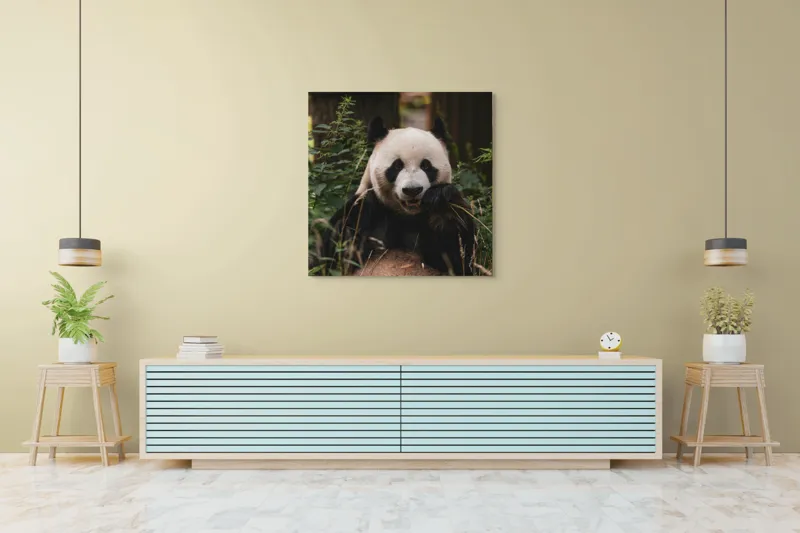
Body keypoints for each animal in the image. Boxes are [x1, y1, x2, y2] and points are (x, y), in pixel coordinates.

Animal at [313, 117, 476, 276]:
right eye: (397, 165)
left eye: (426, 165)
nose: (412, 190)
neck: (406, 216)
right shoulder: (366, 208)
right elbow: (332, 258)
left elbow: (458, 259)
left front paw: (441, 199)